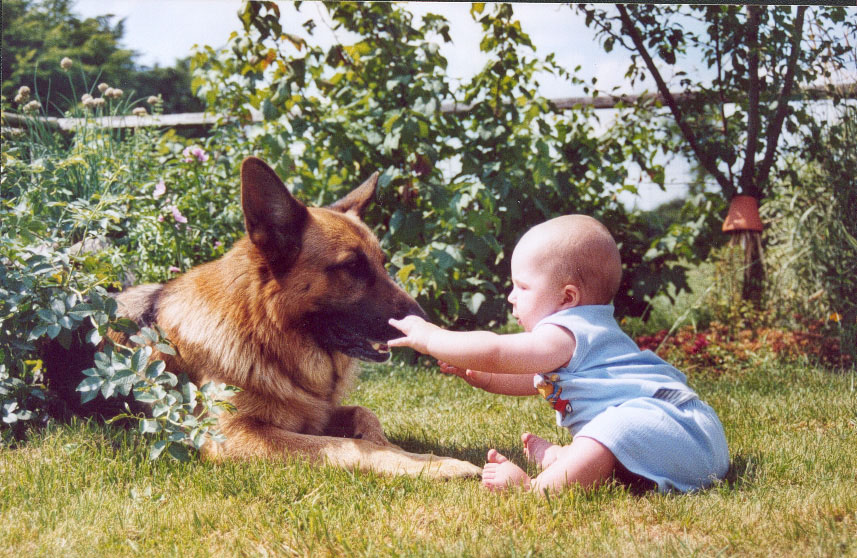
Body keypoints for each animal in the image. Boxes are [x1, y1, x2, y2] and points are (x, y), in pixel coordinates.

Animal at [46, 159, 482, 482]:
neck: (266, 333)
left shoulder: (315, 412)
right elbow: (347, 446)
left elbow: (365, 416)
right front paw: (431, 463)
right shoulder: (231, 435)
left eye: (382, 263)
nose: (428, 322)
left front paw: (397, 448)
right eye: (352, 268)